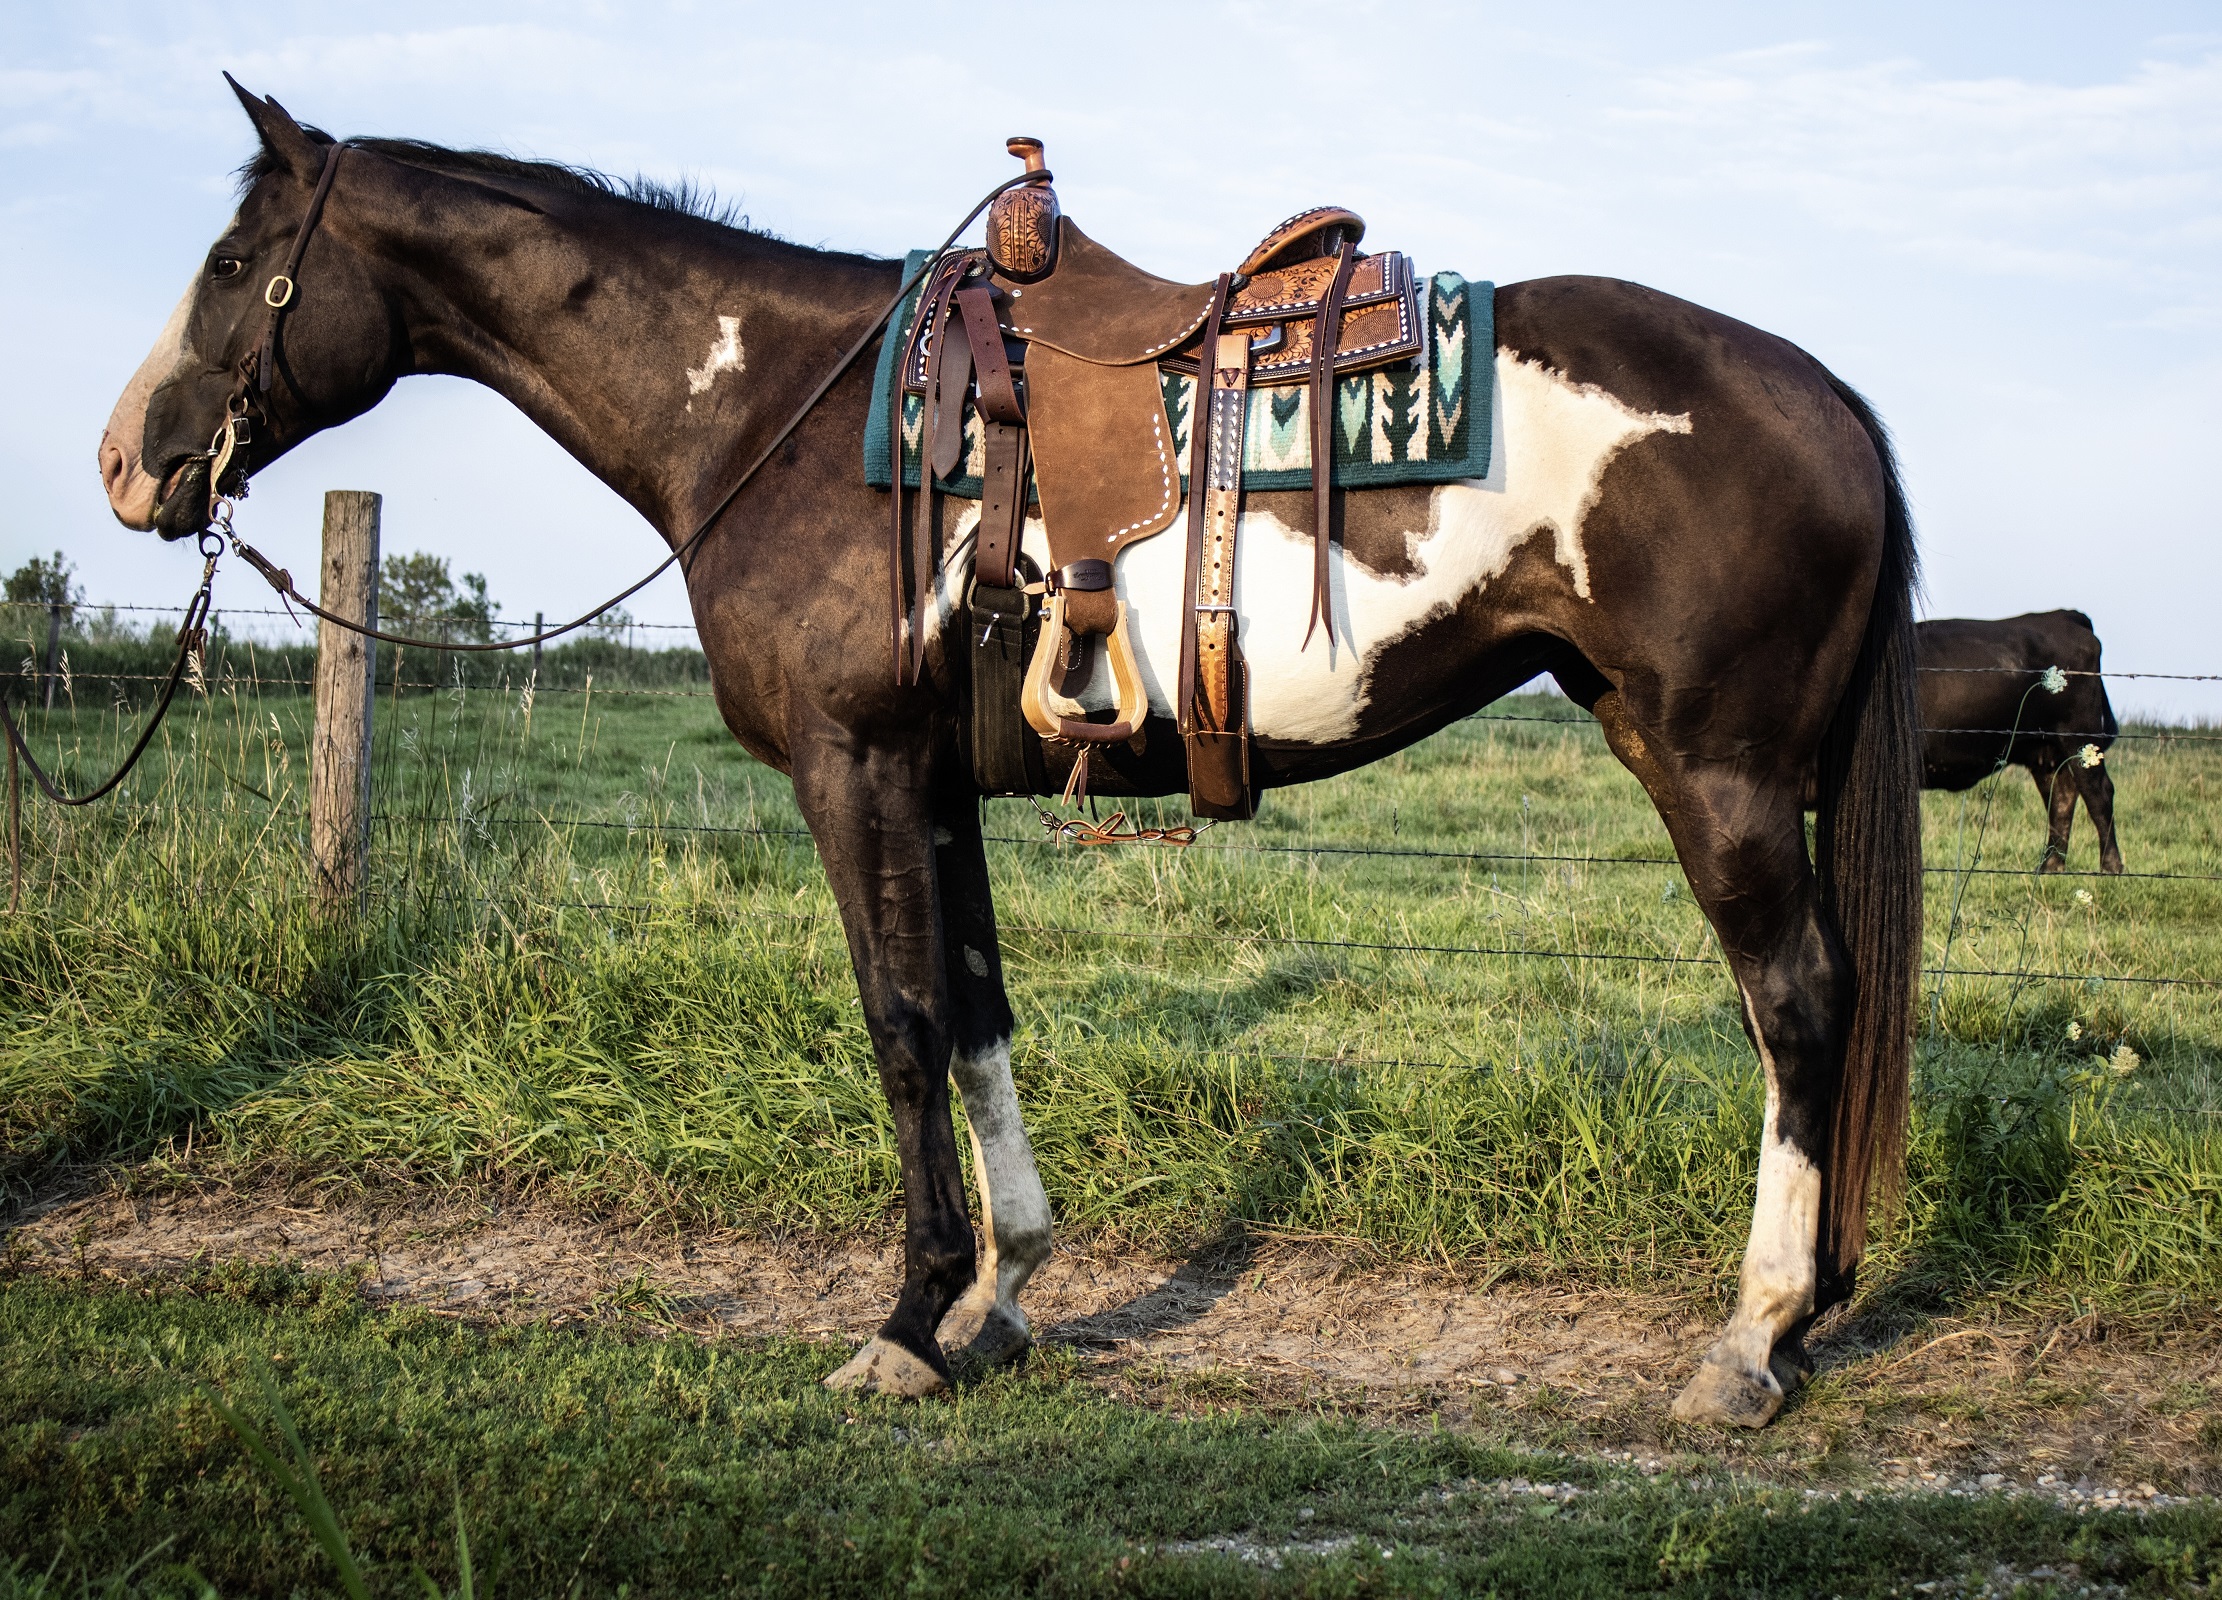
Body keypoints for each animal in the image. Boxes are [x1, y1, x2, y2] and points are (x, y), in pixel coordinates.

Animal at [98, 81, 1921, 1428]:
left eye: (232, 259)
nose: (128, 461)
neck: (769, 405)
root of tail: (1830, 397)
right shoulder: (932, 780)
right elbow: (974, 1015)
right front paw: (1005, 1296)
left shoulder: (852, 768)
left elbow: (899, 1027)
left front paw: (905, 1321)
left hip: (1716, 769)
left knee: (1796, 1006)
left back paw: (1753, 1339)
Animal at [1918, 612, 2124, 874]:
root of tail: (2063, 615)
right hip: (2048, 751)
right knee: (2061, 796)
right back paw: (2050, 866)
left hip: (2081, 740)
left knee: (2098, 793)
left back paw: (2110, 867)